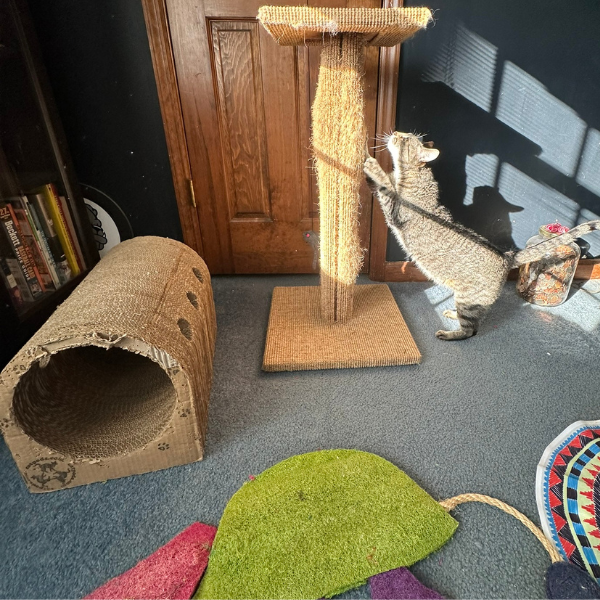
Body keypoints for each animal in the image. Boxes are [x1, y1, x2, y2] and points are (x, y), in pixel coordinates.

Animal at [364, 133, 596, 340]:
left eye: (405, 138)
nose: (395, 131)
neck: (413, 177)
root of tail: (507, 256)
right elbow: (384, 184)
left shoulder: (395, 213)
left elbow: (385, 186)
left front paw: (373, 166)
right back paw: (452, 314)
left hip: (468, 300)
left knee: (471, 331)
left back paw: (449, 334)